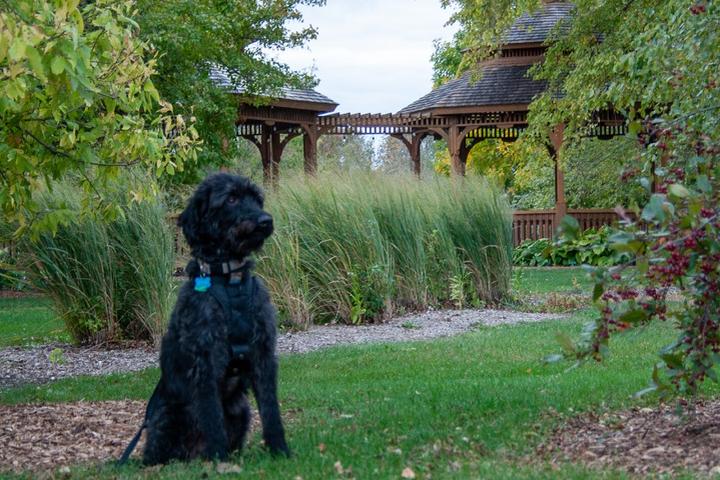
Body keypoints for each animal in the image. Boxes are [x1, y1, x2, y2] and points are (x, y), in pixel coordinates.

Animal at [123, 172, 290, 464]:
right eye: (231, 198)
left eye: (256, 198)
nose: (265, 220)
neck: (230, 279)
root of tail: (192, 455)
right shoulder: (206, 359)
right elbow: (212, 416)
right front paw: (219, 458)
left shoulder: (263, 352)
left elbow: (271, 409)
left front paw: (280, 450)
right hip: (166, 417)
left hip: (241, 409)